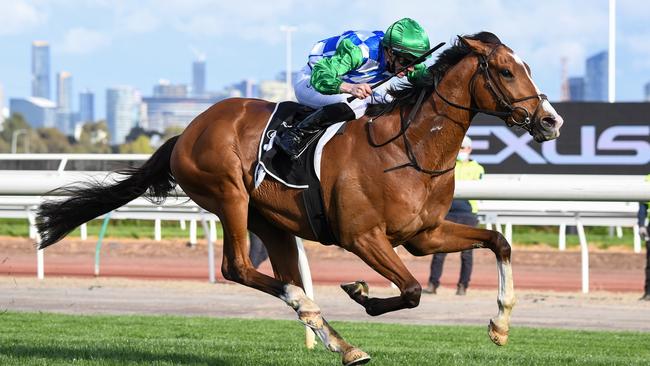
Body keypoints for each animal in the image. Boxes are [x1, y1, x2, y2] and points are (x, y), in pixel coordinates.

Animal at [36, 33, 560, 364]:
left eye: (529, 68)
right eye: (507, 71)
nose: (550, 121)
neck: (407, 149)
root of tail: (187, 131)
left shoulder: (424, 235)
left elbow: (498, 242)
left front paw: (500, 326)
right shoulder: (361, 236)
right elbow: (411, 290)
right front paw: (362, 293)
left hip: (272, 221)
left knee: (282, 273)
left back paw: (341, 343)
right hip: (228, 195)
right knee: (238, 268)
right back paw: (314, 312)